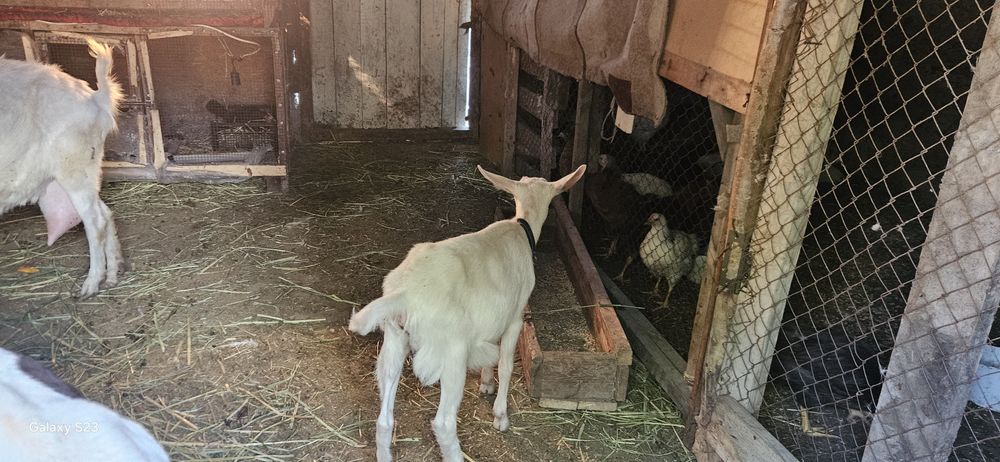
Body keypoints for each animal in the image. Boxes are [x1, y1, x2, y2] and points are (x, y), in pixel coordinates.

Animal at [0, 39, 124, 298]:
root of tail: (96, 98)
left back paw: (91, 284)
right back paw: (112, 275)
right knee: (106, 213)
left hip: (74, 165)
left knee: (95, 220)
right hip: (87, 170)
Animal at [349, 164, 586, 462]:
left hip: (394, 340)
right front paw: (500, 415)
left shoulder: (493, 317)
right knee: (443, 422)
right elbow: (506, 365)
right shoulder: (515, 317)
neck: (521, 227)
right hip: (452, 353)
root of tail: (405, 294)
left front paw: (486, 383)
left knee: (384, 419)